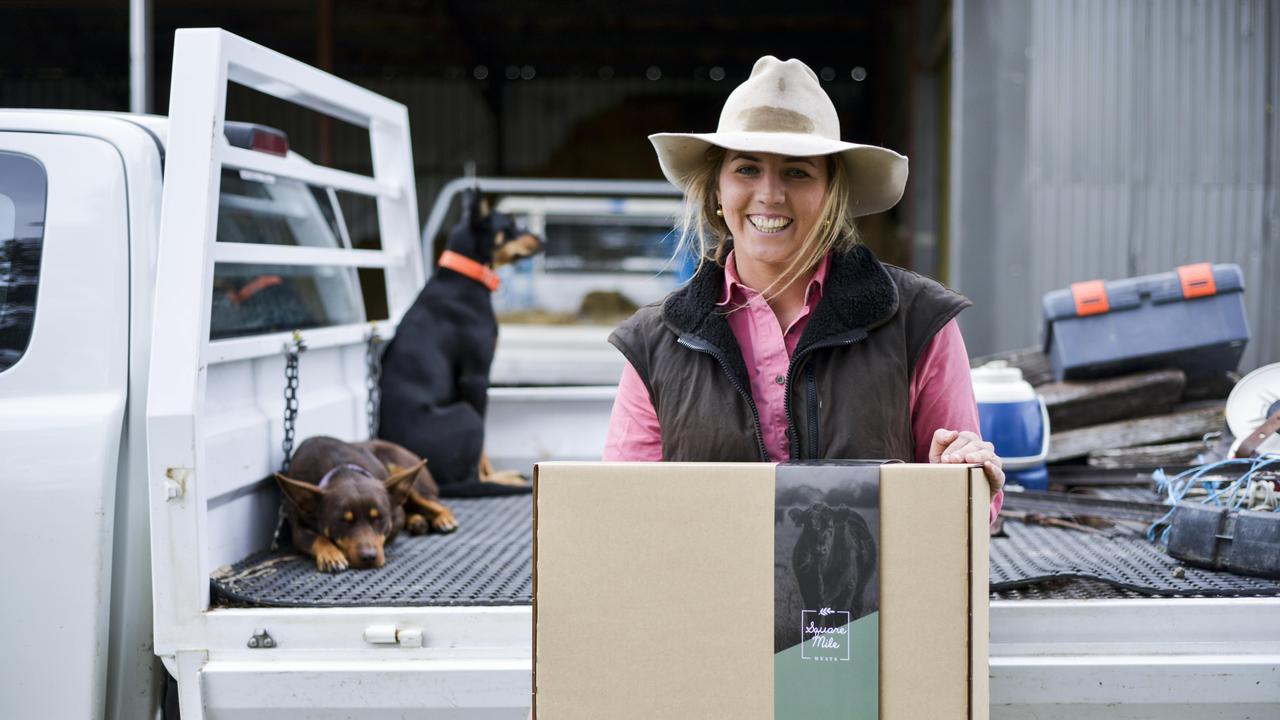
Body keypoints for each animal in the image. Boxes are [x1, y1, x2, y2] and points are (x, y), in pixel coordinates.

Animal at [275, 430, 460, 571]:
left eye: (379, 518)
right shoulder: (298, 530)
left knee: (436, 503)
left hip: (405, 473)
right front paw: (331, 555)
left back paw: (443, 519)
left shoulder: (395, 515)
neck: (342, 469)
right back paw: (417, 520)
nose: (369, 557)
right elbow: (318, 538)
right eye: (343, 521)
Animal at [376, 188, 542, 497]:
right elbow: (483, 452)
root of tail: (439, 485)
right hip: (466, 415)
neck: (464, 277)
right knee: (471, 476)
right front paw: (494, 476)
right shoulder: (476, 377)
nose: (543, 240)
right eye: (510, 226)